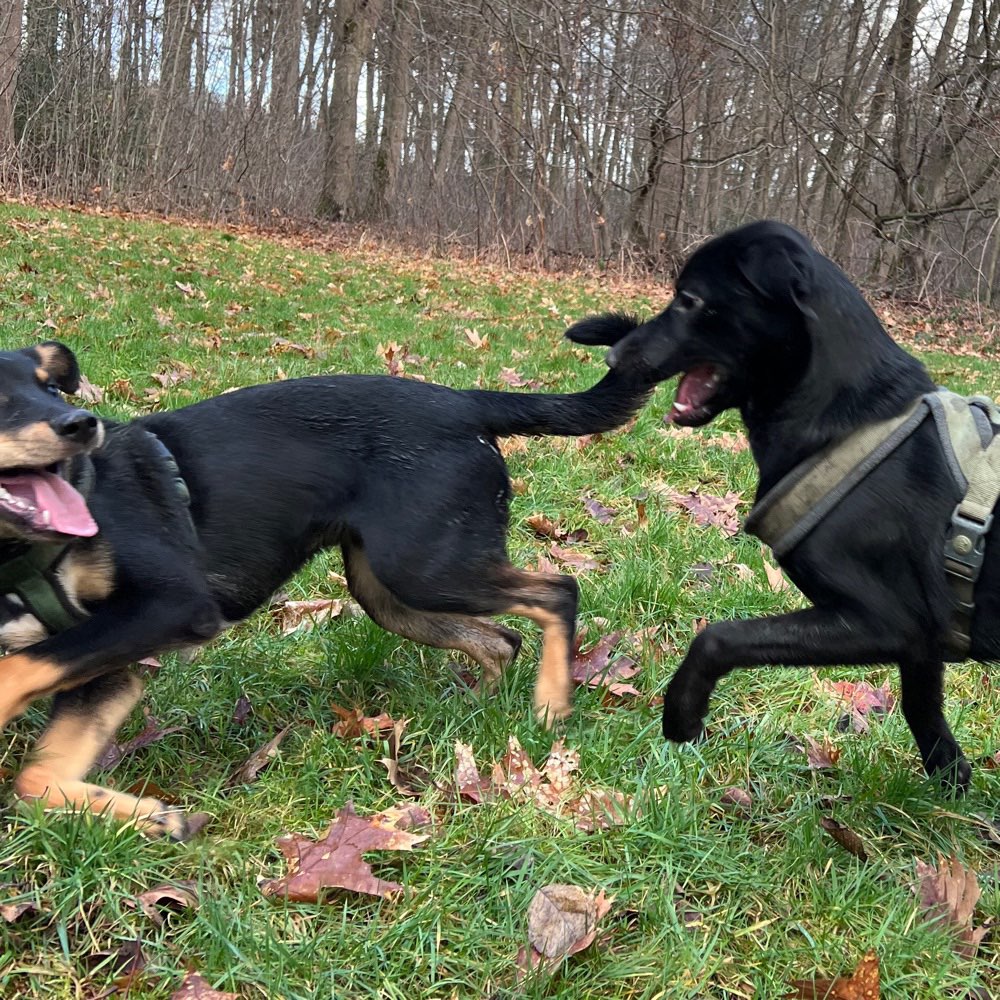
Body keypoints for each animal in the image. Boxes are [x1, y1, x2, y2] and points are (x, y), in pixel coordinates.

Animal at [0, 344, 652, 836]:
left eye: (52, 390)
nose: (82, 426)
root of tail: (466, 401)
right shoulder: (108, 668)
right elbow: (33, 775)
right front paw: (147, 817)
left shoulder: (168, 604)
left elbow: (16, 673)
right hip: (388, 593)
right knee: (500, 640)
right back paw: (480, 710)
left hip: (424, 565)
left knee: (559, 589)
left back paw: (550, 704)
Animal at [564, 223, 1000, 792]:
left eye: (689, 300)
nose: (614, 358)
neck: (849, 421)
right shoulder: (922, 639)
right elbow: (921, 709)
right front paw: (950, 782)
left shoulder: (885, 621)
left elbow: (719, 638)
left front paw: (682, 716)